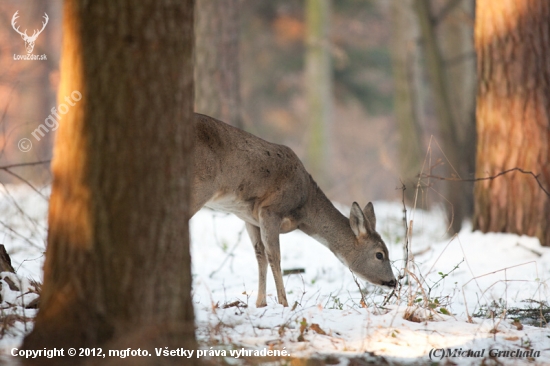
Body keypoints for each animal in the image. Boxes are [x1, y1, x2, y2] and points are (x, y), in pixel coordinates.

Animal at [192, 113, 398, 306]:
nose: (393, 281)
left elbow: (260, 256)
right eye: (380, 254)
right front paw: (284, 303)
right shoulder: (271, 209)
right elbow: (274, 256)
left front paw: (260, 303)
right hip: (200, 187)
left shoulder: (249, 218)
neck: (304, 210)